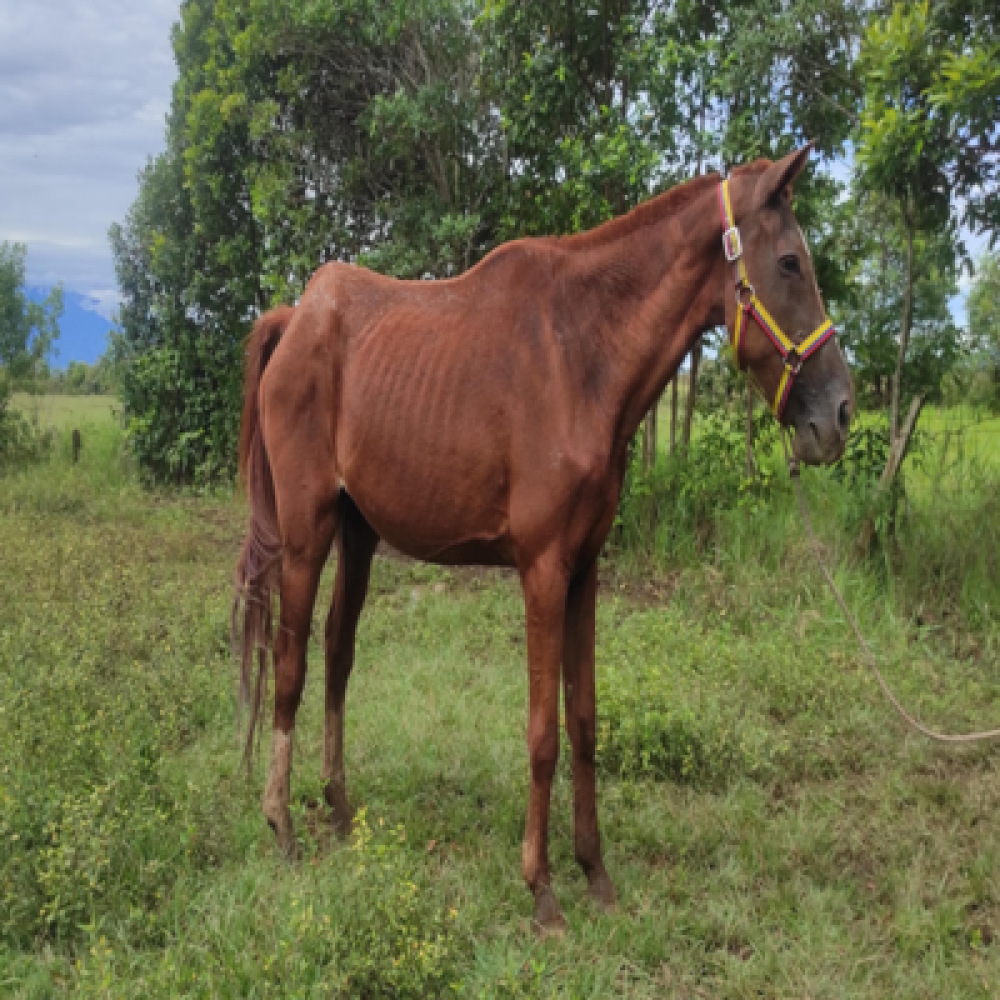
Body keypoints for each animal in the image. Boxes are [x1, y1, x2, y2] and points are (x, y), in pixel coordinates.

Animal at [232, 143, 853, 933]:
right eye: (790, 263)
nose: (839, 413)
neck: (579, 355)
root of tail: (297, 319)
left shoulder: (586, 570)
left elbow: (584, 723)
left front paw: (596, 873)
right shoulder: (543, 571)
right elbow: (542, 735)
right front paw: (542, 889)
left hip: (358, 535)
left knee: (338, 655)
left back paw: (338, 810)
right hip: (306, 534)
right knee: (291, 664)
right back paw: (281, 824)